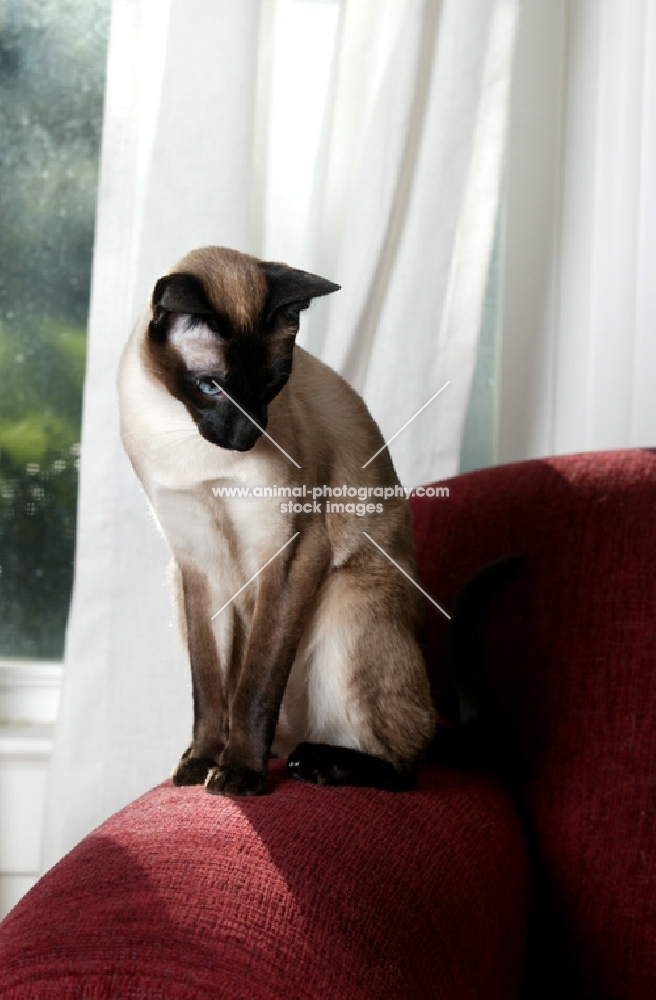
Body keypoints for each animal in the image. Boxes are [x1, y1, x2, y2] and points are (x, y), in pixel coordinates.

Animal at [118, 248, 436, 796]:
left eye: (271, 383)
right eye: (210, 387)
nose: (246, 436)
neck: (185, 441)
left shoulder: (288, 554)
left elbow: (255, 687)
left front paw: (239, 775)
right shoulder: (196, 564)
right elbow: (209, 690)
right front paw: (202, 763)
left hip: (345, 603)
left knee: (406, 764)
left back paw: (315, 765)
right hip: (179, 588)